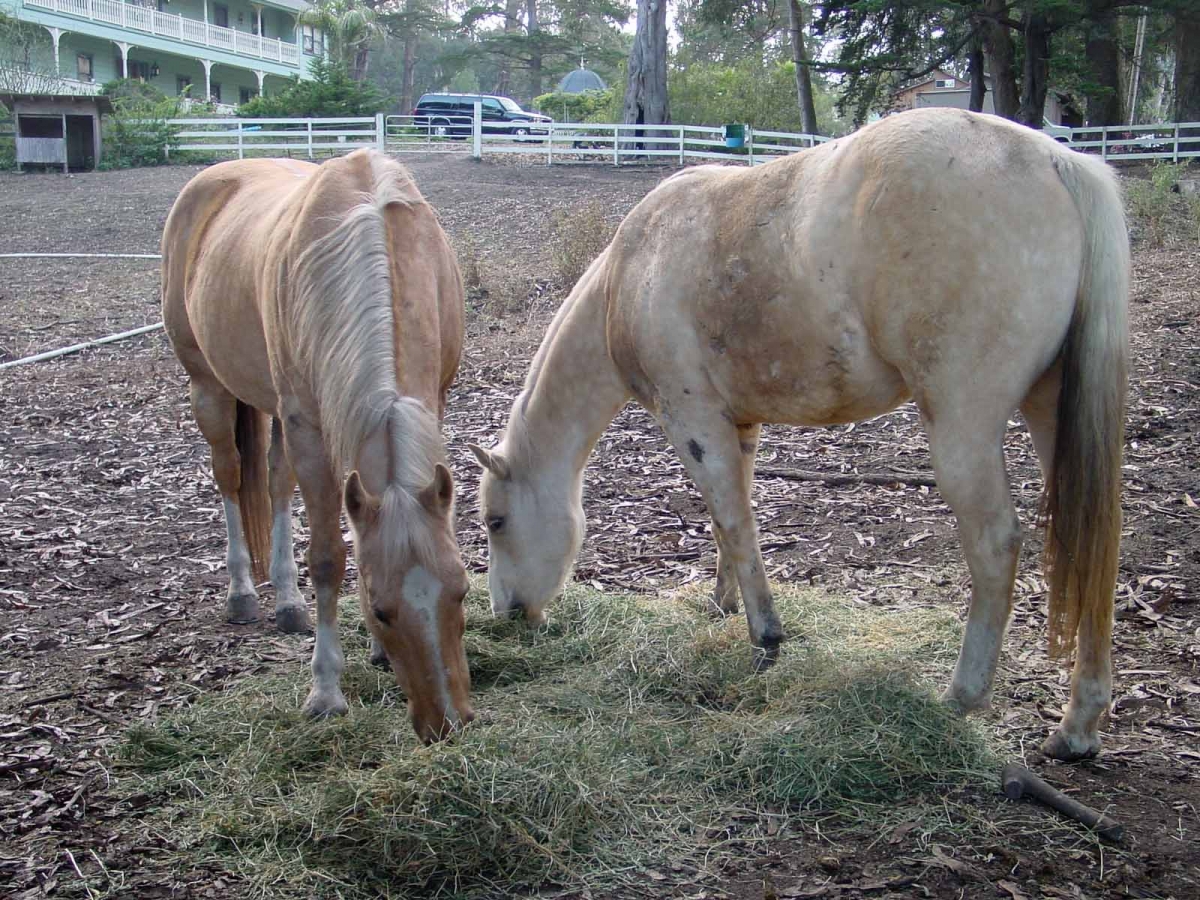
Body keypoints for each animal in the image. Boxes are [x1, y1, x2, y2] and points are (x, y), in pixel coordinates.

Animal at [162, 149, 473, 743]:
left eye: (462, 591)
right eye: (382, 610)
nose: (447, 723)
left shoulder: (433, 401)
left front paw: (373, 654)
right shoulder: (307, 426)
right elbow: (329, 557)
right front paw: (326, 691)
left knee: (276, 482)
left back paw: (288, 602)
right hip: (209, 389)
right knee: (231, 475)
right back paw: (243, 594)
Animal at [469, 108, 1129, 762]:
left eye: (495, 522)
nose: (507, 614)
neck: (630, 273)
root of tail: (1056, 159)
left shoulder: (694, 424)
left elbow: (734, 522)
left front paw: (765, 636)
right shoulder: (739, 427)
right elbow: (727, 522)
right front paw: (723, 604)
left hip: (962, 425)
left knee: (995, 544)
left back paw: (962, 697)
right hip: (1049, 409)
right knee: (1095, 543)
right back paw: (1078, 725)